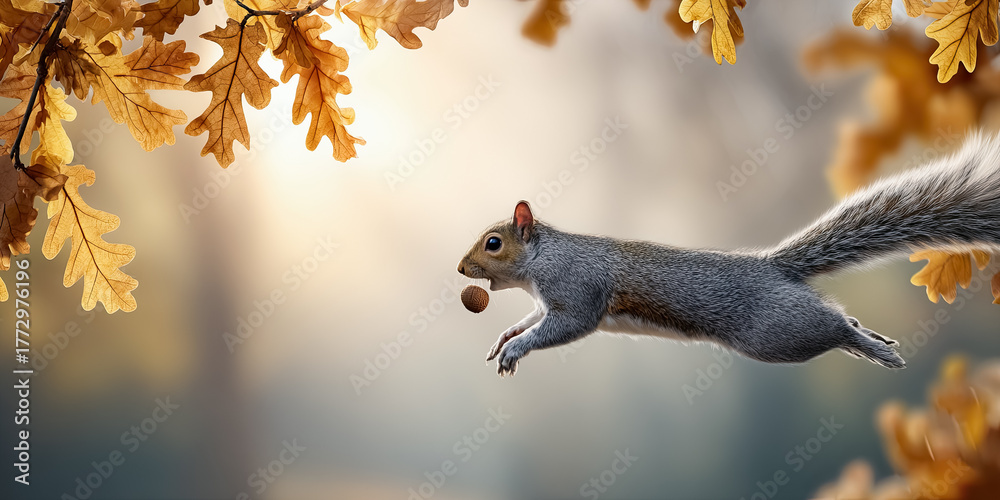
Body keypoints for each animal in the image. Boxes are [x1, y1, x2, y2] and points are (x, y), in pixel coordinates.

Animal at [457, 132, 1000, 377]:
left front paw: (517, 349)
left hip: (777, 334)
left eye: (493, 243)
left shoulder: (576, 291)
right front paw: (505, 337)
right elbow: (530, 320)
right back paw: (870, 339)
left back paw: (874, 348)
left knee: (832, 326)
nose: (461, 268)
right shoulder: (545, 301)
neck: (542, 262)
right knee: (839, 319)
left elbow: (564, 326)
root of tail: (774, 268)